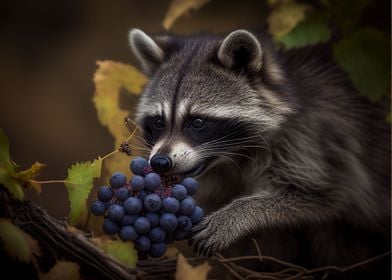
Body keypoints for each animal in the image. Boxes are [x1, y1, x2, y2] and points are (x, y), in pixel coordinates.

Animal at [128, 28, 388, 278]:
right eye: (159, 122)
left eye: (198, 122)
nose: (160, 162)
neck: (231, 158)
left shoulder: (313, 139)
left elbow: (323, 195)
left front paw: (239, 213)